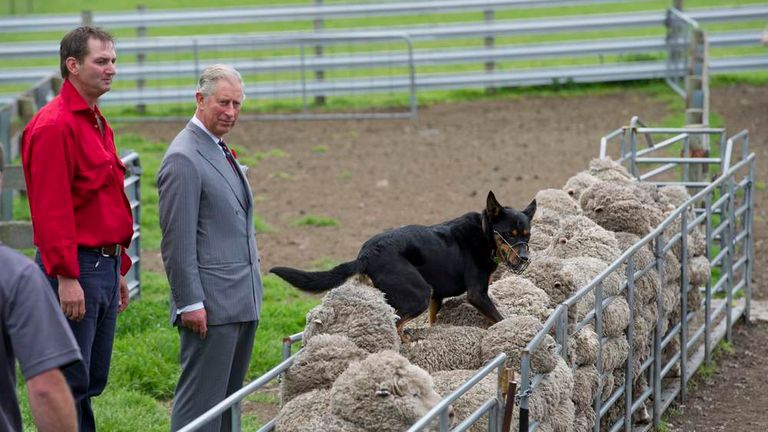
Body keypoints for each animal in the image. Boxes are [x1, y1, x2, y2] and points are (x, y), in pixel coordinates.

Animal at [270, 191, 536, 336]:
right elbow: (499, 317)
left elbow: (433, 320)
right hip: (418, 293)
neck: (484, 232)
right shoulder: (477, 295)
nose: (524, 258)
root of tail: (365, 255)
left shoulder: (436, 297)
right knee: (395, 324)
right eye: (510, 234)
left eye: (527, 234)